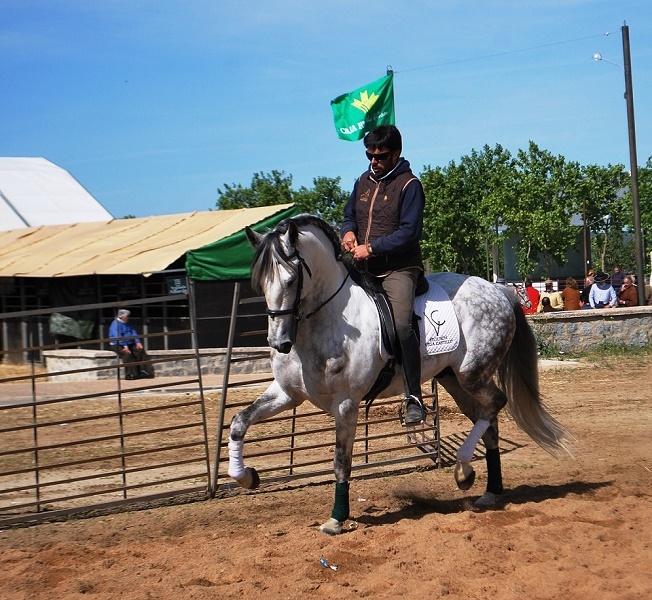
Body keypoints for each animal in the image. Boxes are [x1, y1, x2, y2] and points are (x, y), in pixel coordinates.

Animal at [228, 214, 574, 535]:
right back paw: (488, 488)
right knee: (486, 417)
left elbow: (341, 462)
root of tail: (498, 290)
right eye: (260, 284)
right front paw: (246, 477)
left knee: (495, 403)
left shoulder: (346, 404)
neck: (326, 321)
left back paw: (463, 467)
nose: (279, 343)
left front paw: (337, 518)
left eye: (290, 280)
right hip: (454, 380)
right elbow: (239, 423)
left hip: (471, 374)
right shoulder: (287, 394)